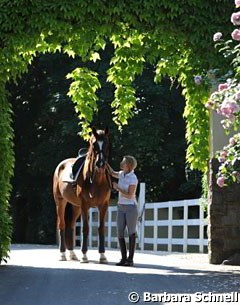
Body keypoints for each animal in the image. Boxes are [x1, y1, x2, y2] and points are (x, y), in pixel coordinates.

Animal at [53, 126, 111, 262]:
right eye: (94, 144)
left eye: (107, 143)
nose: (100, 163)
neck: (97, 181)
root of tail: (60, 166)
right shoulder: (85, 205)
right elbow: (85, 228)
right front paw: (84, 255)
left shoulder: (104, 206)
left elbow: (101, 229)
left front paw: (102, 255)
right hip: (60, 202)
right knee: (62, 225)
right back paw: (63, 254)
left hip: (76, 207)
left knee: (71, 226)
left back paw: (72, 253)